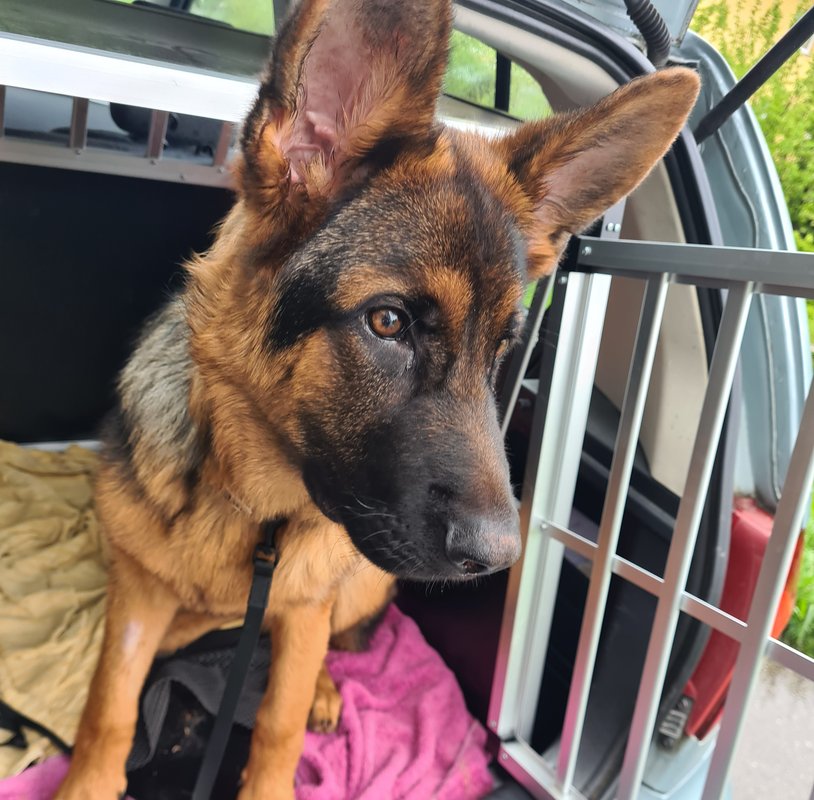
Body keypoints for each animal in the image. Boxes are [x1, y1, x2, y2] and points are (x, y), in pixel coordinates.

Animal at [55, 0, 699, 797]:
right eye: (388, 321)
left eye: (502, 348)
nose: (498, 559)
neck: (251, 511)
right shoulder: (138, 600)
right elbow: (109, 707)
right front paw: (88, 778)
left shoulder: (301, 605)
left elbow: (279, 722)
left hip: (354, 581)